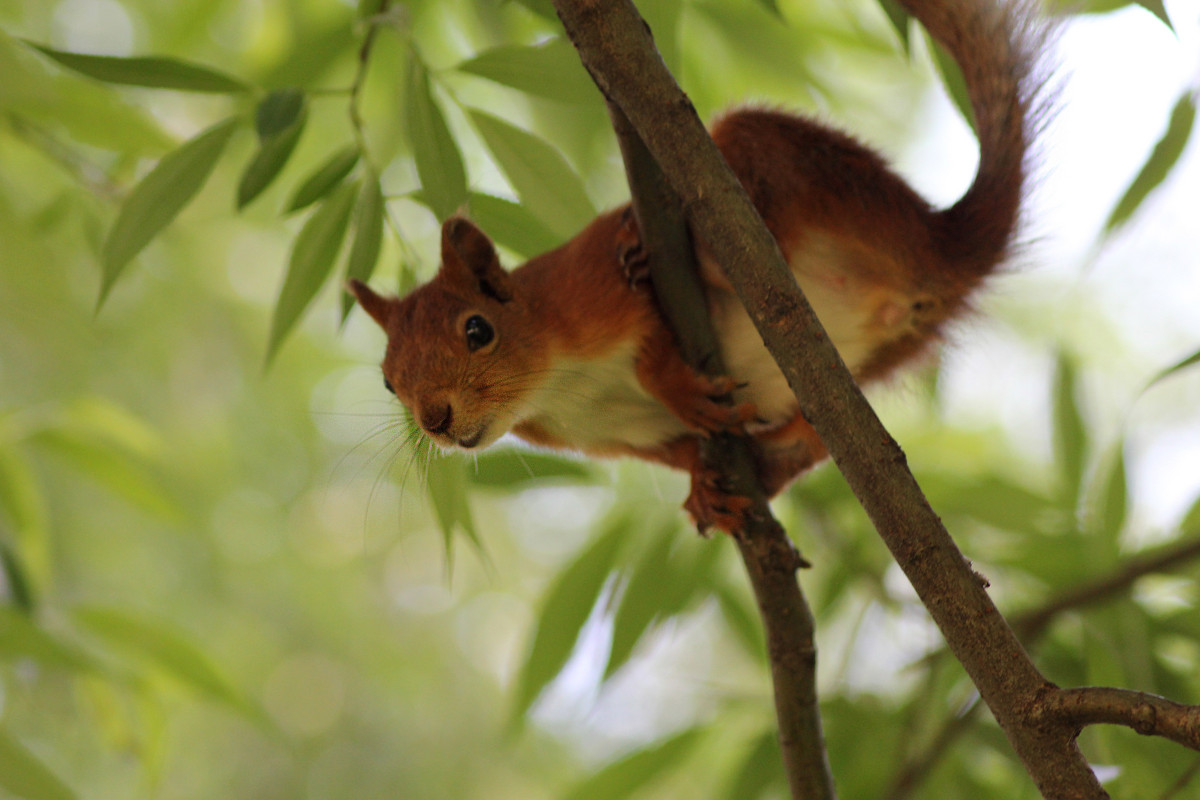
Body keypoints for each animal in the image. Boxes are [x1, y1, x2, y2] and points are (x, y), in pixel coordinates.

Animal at [348, 0, 1041, 534]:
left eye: (477, 330)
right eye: (386, 381)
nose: (435, 422)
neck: (558, 382)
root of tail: (935, 238)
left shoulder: (594, 293)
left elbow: (653, 344)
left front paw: (675, 384)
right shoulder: (613, 437)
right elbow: (683, 454)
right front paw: (703, 490)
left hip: (801, 171)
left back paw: (688, 250)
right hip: (879, 352)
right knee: (819, 436)